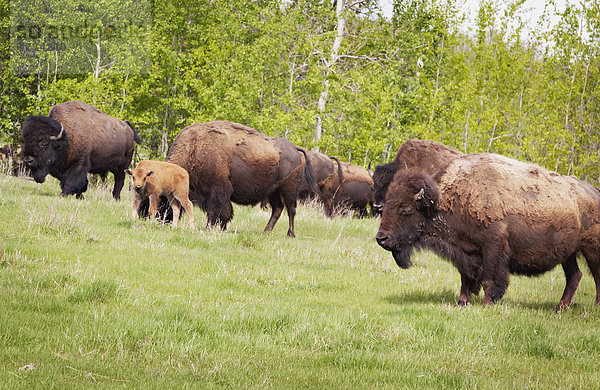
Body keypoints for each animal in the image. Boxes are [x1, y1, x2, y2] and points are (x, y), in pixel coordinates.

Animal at [164, 120, 322, 236]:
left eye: (163, 197)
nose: (162, 220)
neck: (195, 149)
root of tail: (296, 149)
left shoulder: (217, 191)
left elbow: (217, 211)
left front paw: (211, 227)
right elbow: (223, 212)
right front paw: (222, 228)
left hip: (289, 190)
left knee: (291, 210)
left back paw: (290, 234)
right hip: (273, 192)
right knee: (278, 209)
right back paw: (265, 231)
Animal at [378, 152, 600, 310]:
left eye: (406, 209)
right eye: (386, 204)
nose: (381, 238)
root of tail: (594, 192)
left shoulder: (493, 246)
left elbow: (489, 279)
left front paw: (486, 304)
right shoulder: (465, 251)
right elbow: (465, 278)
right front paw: (462, 303)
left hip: (591, 249)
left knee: (595, 275)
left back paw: (594, 307)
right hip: (568, 253)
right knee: (574, 276)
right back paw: (560, 308)